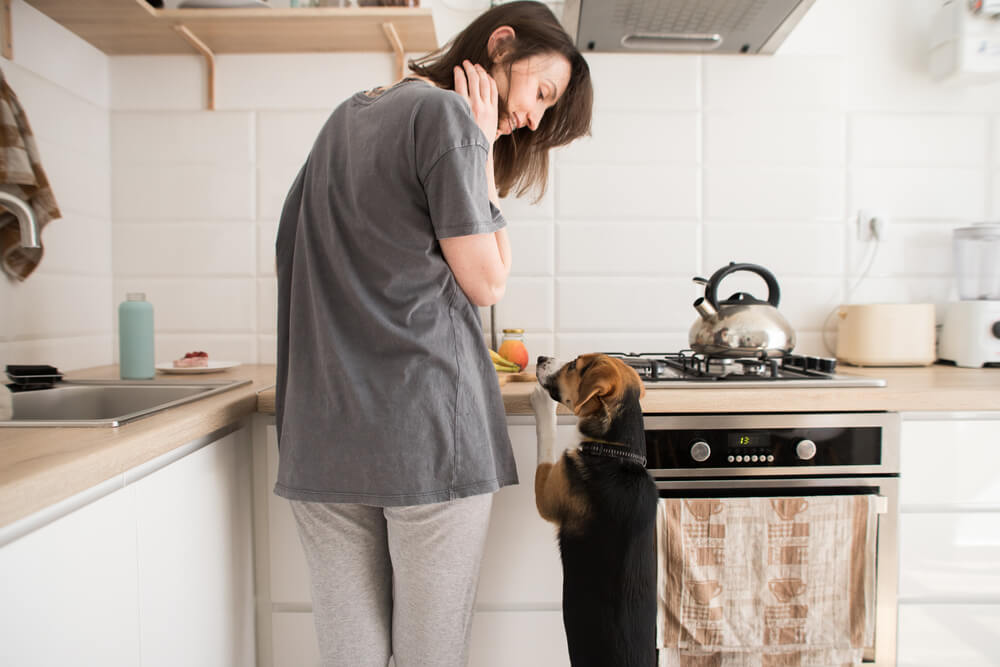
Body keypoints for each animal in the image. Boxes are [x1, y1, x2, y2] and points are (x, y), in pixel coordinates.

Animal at [528, 354, 660, 667]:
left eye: (573, 366)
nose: (541, 357)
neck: (617, 454)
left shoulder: (548, 495)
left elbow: (547, 441)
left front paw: (543, 404)